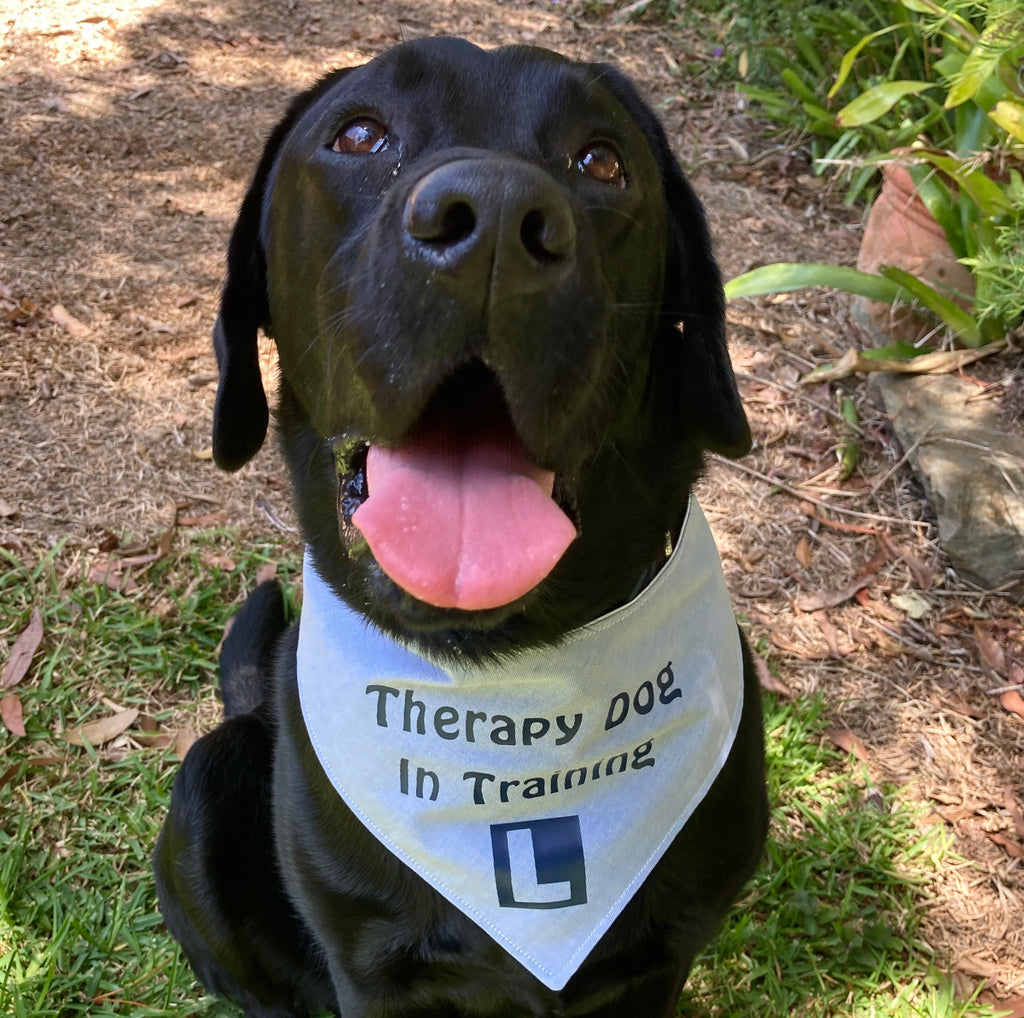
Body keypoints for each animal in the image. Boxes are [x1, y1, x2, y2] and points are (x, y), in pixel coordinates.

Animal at [153, 37, 770, 1015]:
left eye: (603, 161)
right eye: (359, 135)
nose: (495, 217)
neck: (498, 679)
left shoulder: (662, 959)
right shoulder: (371, 970)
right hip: (207, 785)